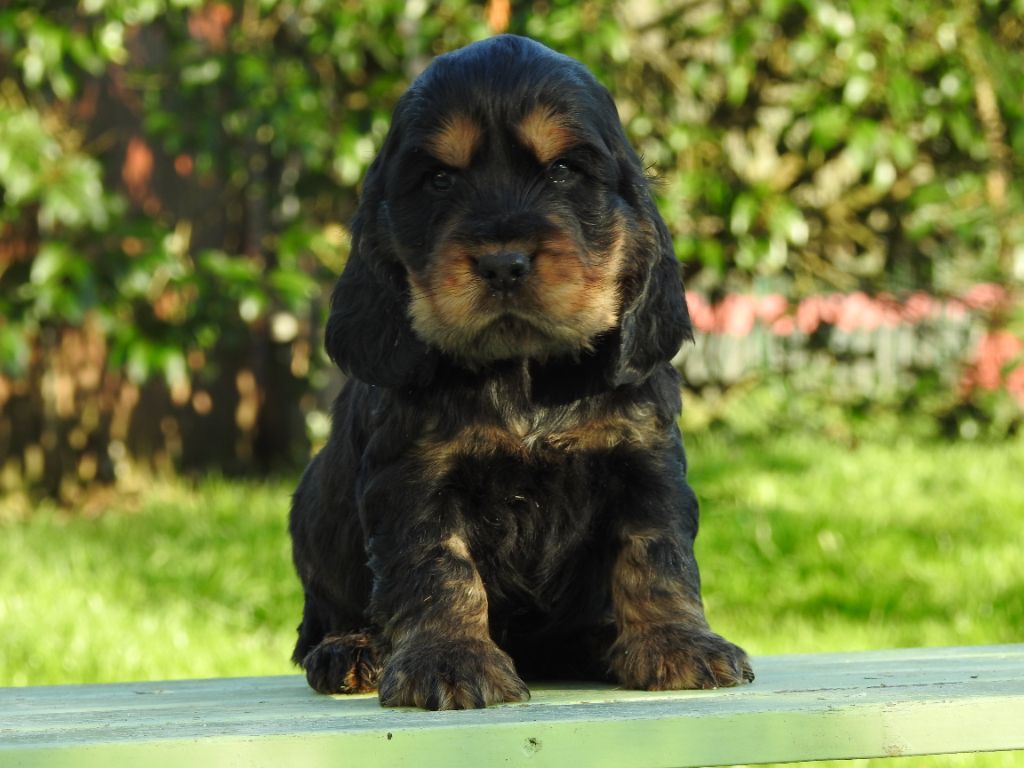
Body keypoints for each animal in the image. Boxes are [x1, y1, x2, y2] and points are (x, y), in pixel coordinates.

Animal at [288, 34, 753, 708]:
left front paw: (678, 643)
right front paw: (449, 660)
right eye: (439, 179)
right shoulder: (414, 476)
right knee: (323, 621)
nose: (503, 262)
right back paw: (350, 650)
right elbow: (438, 566)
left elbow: (656, 554)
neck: (525, 371)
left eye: (561, 171)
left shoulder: (645, 460)